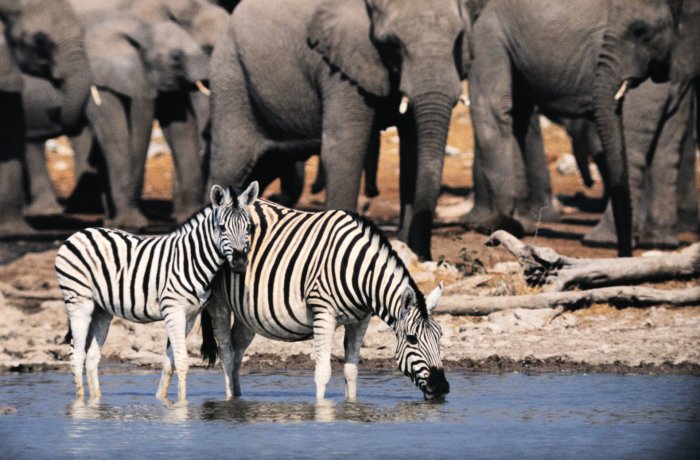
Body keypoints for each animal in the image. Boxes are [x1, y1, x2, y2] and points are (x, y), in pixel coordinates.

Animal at [55, 182, 259, 401]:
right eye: (222, 228)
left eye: (249, 228)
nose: (240, 263)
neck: (192, 258)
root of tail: (79, 233)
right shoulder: (173, 310)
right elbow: (182, 361)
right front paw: (182, 404)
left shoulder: (190, 315)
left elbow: (170, 362)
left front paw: (163, 401)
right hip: (79, 301)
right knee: (77, 355)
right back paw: (80, 402)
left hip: (102, 310)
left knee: (92, 356)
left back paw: (96, 400)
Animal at [197, 198, 449, 401]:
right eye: (412, 339)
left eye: (440, 337)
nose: (441, 388)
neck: (359, 273)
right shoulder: (323, 313)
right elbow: (323, 373)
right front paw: (321, 410)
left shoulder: (361, 320)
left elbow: (351, 371)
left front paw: (351, 406)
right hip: (218, 301)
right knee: (227, 354)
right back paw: (230, 402)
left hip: (247, 312)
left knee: (237, 352)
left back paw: (239, 399)